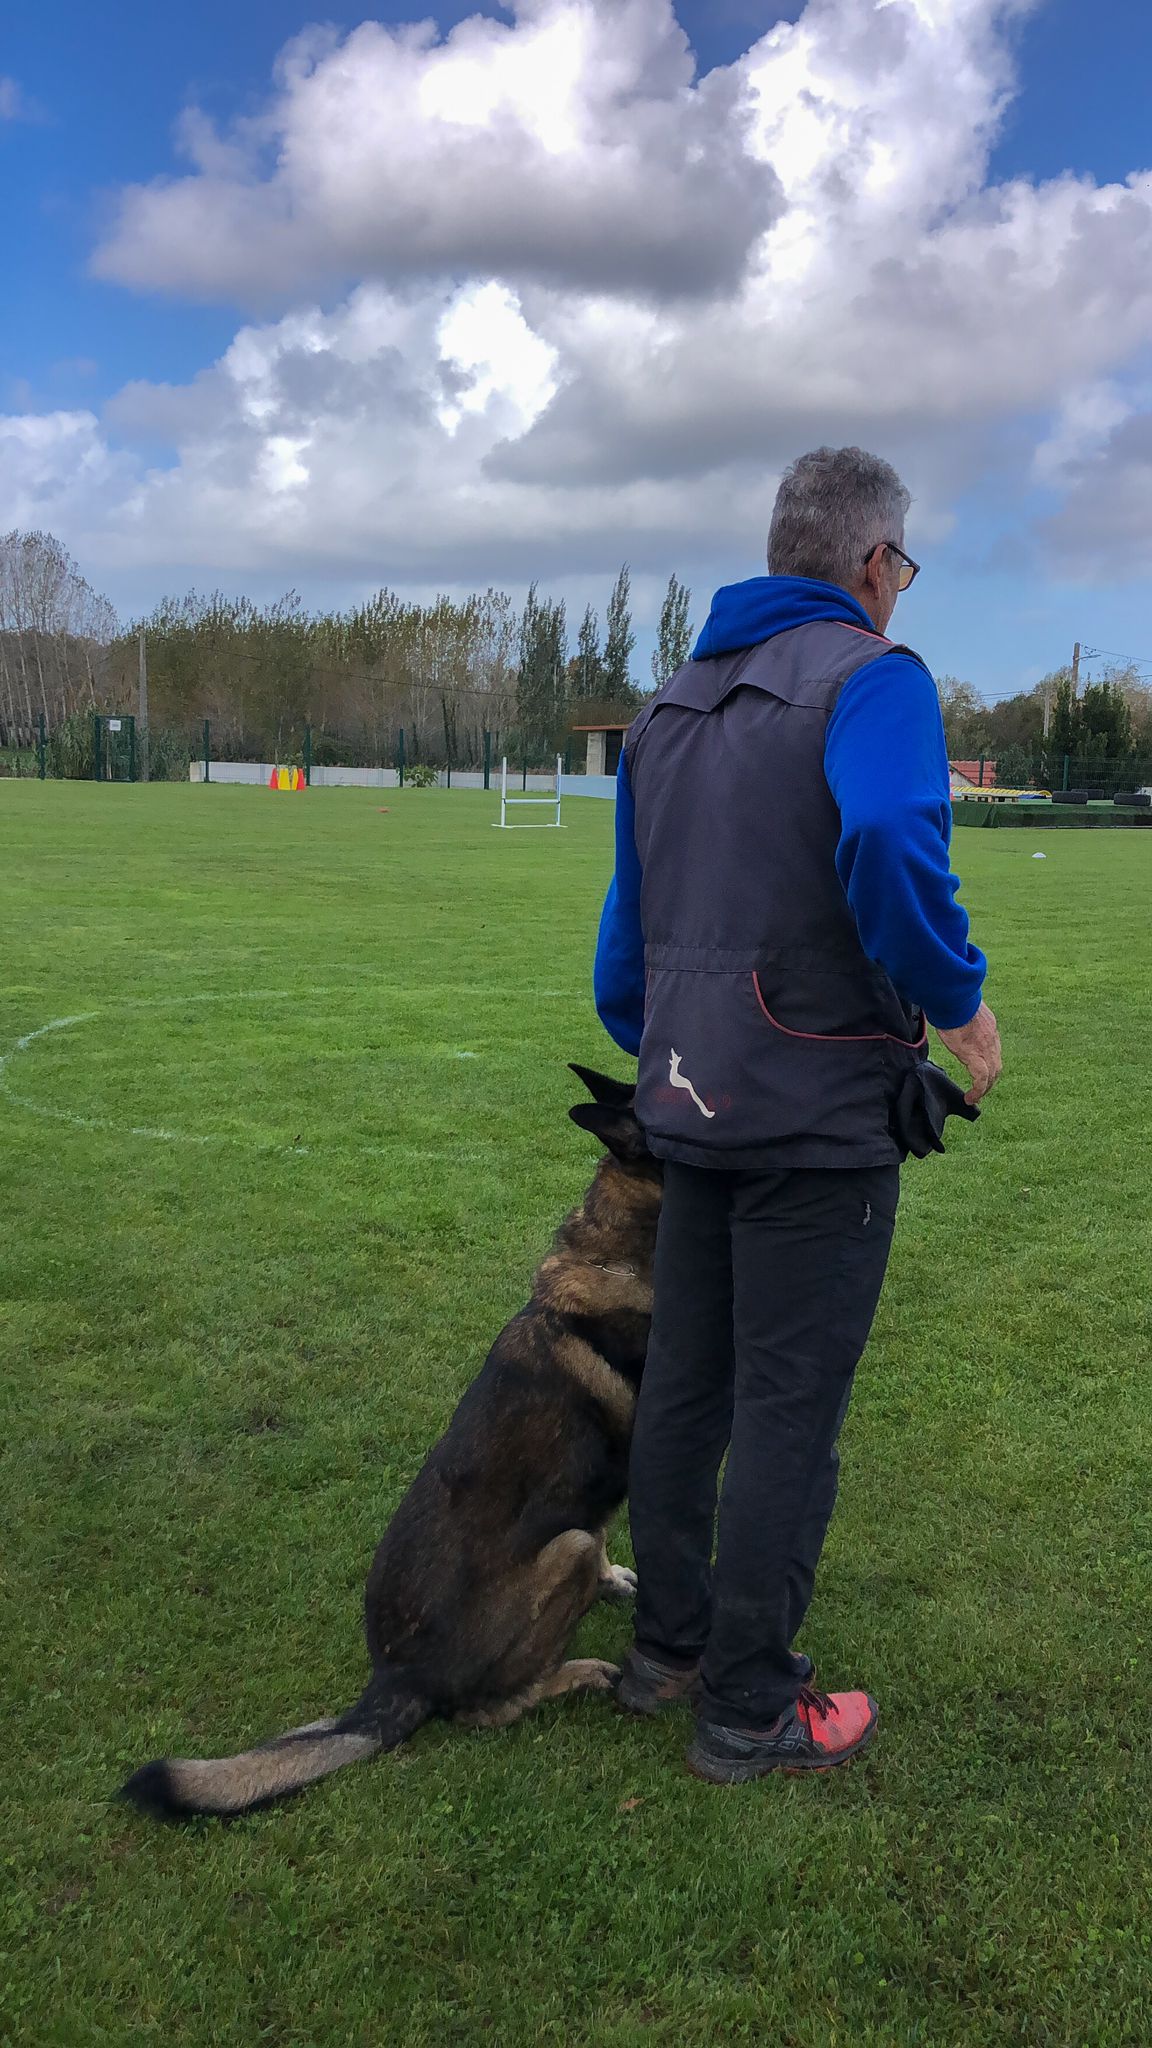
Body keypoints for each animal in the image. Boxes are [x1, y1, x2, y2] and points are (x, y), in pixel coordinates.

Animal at [120, 1064, 660, 1818]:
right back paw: (578, 1674)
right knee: (486, 1710)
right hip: (563, 1557)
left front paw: (615, 1581)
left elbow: (609, 1522)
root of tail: (396, 1679)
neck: (621, 1247)